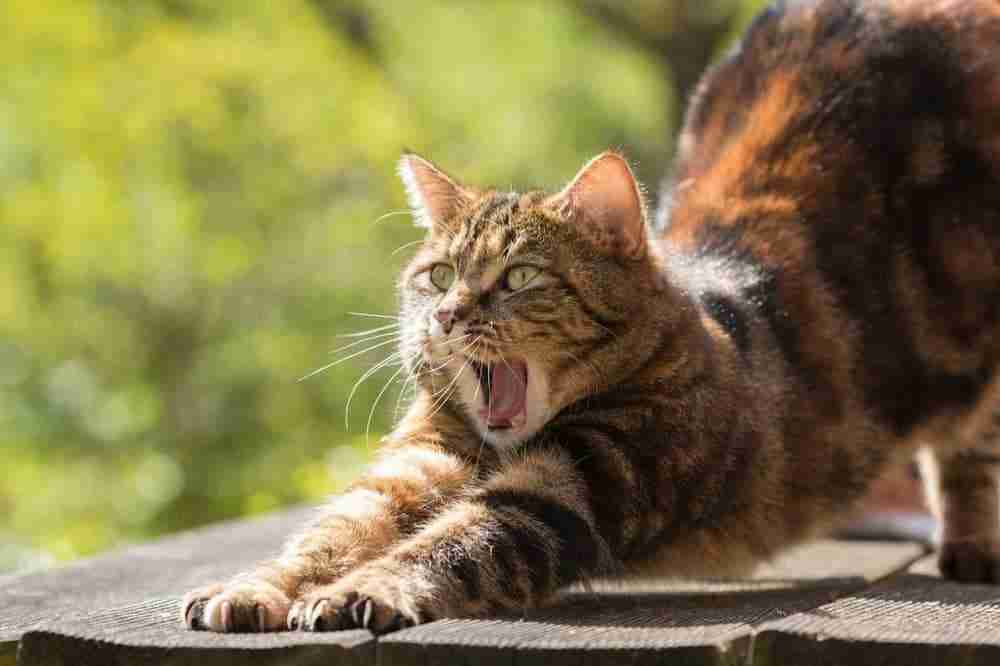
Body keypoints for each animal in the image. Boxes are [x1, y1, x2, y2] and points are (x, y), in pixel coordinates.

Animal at [182, 0, 1000, 632]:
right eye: (438, 275)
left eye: (519, 277)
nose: (445, 315)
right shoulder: (420, 461)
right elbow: (333, 530)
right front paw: (253, 588)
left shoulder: (581, 483)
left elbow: (456, 539)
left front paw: (363, 587)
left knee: (970, 452)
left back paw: (972, 547)